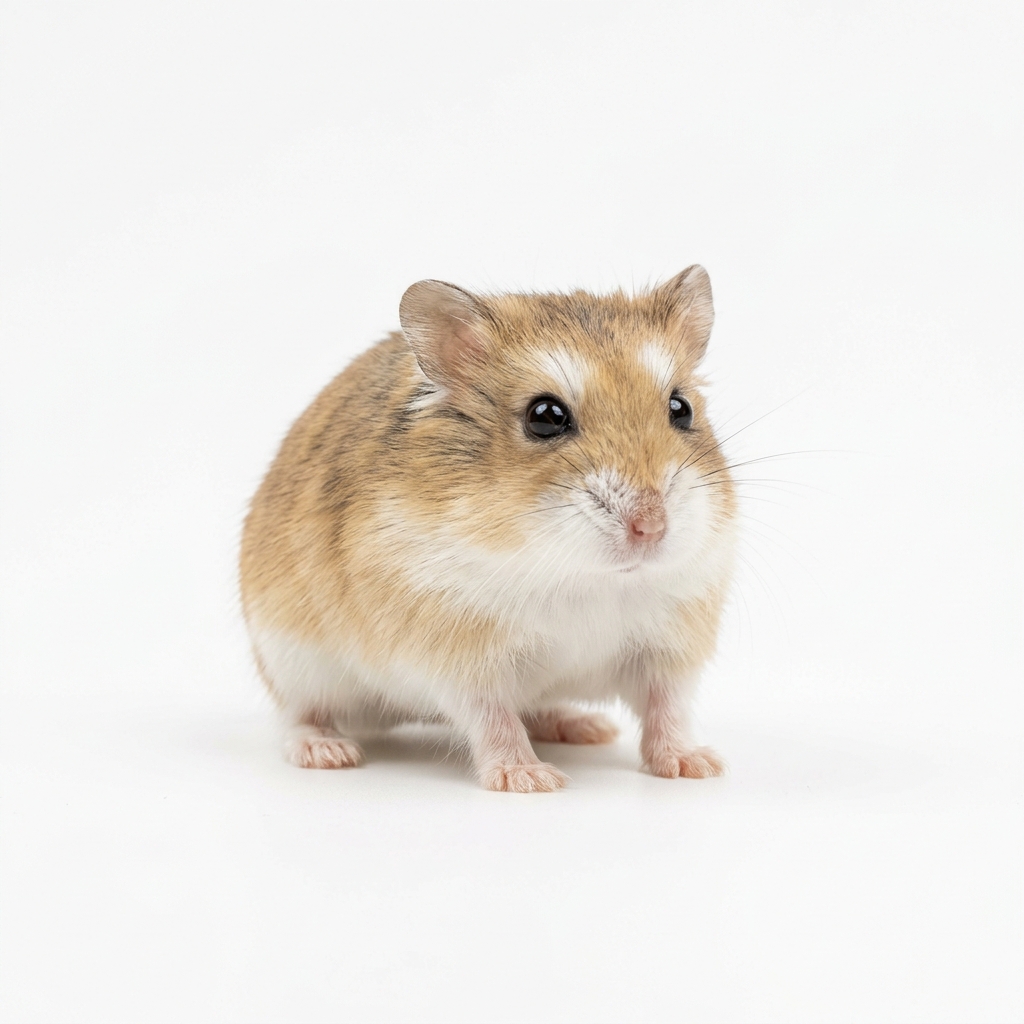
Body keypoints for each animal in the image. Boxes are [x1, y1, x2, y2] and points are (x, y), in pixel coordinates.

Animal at [239, 267, 737, 791]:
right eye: (545, 417)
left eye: (680, 408)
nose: (650, 528)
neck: (585, 577)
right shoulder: (461, 661)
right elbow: (493, 718)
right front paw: (530, 779)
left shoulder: (669, 649)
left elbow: (668, 709)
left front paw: (696, 766)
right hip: (291, 662)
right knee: (299, 715)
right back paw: (327, 751)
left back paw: (585, 726)